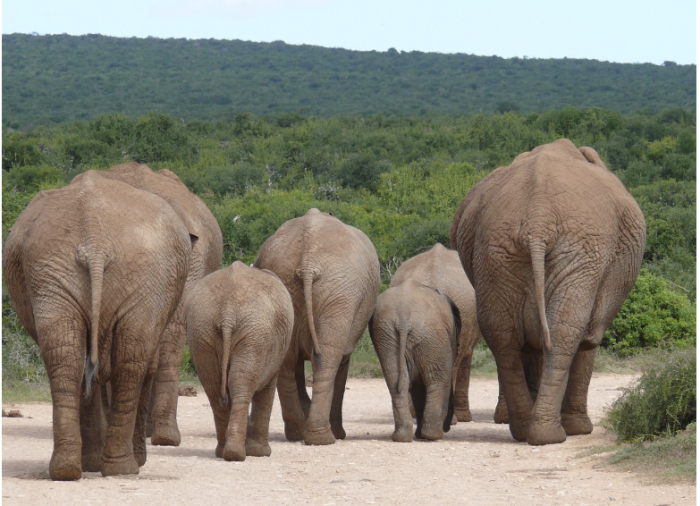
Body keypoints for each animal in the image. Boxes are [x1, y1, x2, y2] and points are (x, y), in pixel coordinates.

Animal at [2, 171, 192, 479]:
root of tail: (95, 239)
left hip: (52, 269)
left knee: (66, 355)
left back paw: (68, 469)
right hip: (141, 272)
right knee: (131, 361)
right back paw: (123, 468)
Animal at [184, 262, 293, 461]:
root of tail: (227, 310)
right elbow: (267, 388)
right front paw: (261, 453)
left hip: (201, 329)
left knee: (214, 387)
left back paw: (225, 452)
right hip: (253, 331)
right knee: (240, 384)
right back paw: (236, 453)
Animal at [253, 208, 380, 445]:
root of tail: (308, 262)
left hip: (291, 284)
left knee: (288, 360)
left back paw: (298, 434)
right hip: (340, 294)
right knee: (328, 359)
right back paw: (325, 438)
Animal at [369, 280, 460, 442]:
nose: (448, 427)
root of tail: (403, 319)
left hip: (386, 334)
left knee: (395, 380)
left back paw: (402, 437)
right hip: (430, 333)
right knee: (437, 379)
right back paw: (432, 435)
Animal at [450, 139, 646, 445]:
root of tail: (537, 219)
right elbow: (589, 337)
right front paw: (580, 430)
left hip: (495, 252)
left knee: (503, 334)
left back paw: (526, 431)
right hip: (581, 251)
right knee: (567, 331)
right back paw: (553, 435)